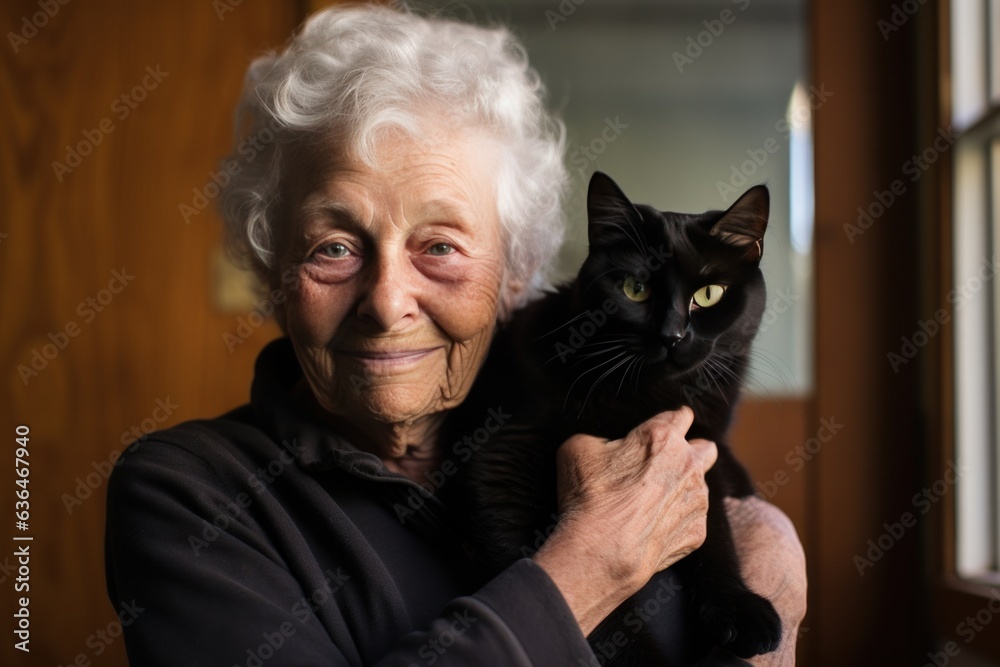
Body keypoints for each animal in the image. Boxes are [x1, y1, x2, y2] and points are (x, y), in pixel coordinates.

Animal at [444, 174, 780, 667]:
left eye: (708, 295)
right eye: (634, 289)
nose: (672, 335)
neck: (652, 395)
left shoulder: (699, 451)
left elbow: (715, 533)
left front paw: (739, 609)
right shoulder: (501, 460)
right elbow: (594, 609)